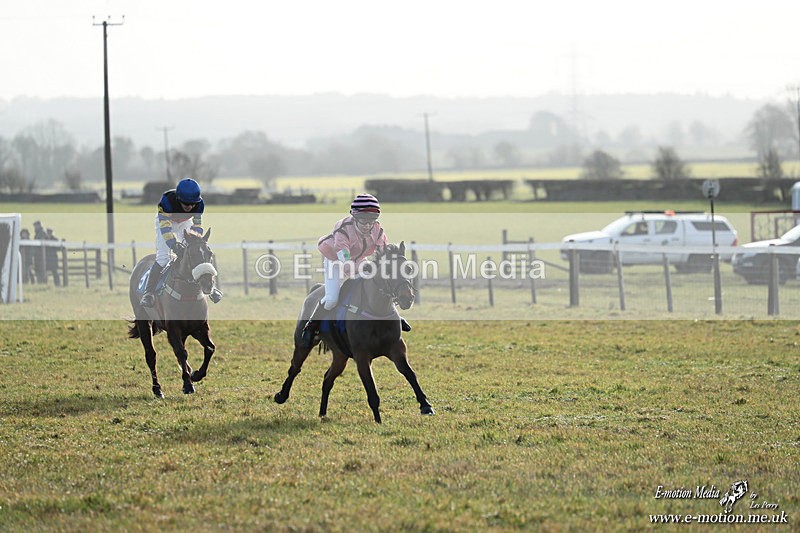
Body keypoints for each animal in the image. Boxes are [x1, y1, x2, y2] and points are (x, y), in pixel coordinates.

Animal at [128, 229, 218, 398]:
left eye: (209, 253)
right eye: (192, 254)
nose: (208, 283)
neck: (188, 295)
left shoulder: (199, 328)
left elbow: (210, 348)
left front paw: (195, 374)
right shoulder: (173, 329)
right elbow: (182, 353)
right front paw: (188, 385)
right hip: (144, 321)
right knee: (151, 355)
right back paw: (157, 389)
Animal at [274, 242, 434, 423]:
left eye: (408, 268)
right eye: (388, 270)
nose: (407, 298)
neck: (376, 310)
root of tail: (315, 290)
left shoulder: (396, 348)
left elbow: (410, 374)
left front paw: (426, 405)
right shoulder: (362, 355)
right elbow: (371, 388)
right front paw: (378, 421)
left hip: (340, 355)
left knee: (328, 378)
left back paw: (322, 413)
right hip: (303, 344)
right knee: (295, 368)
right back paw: (281, 395)